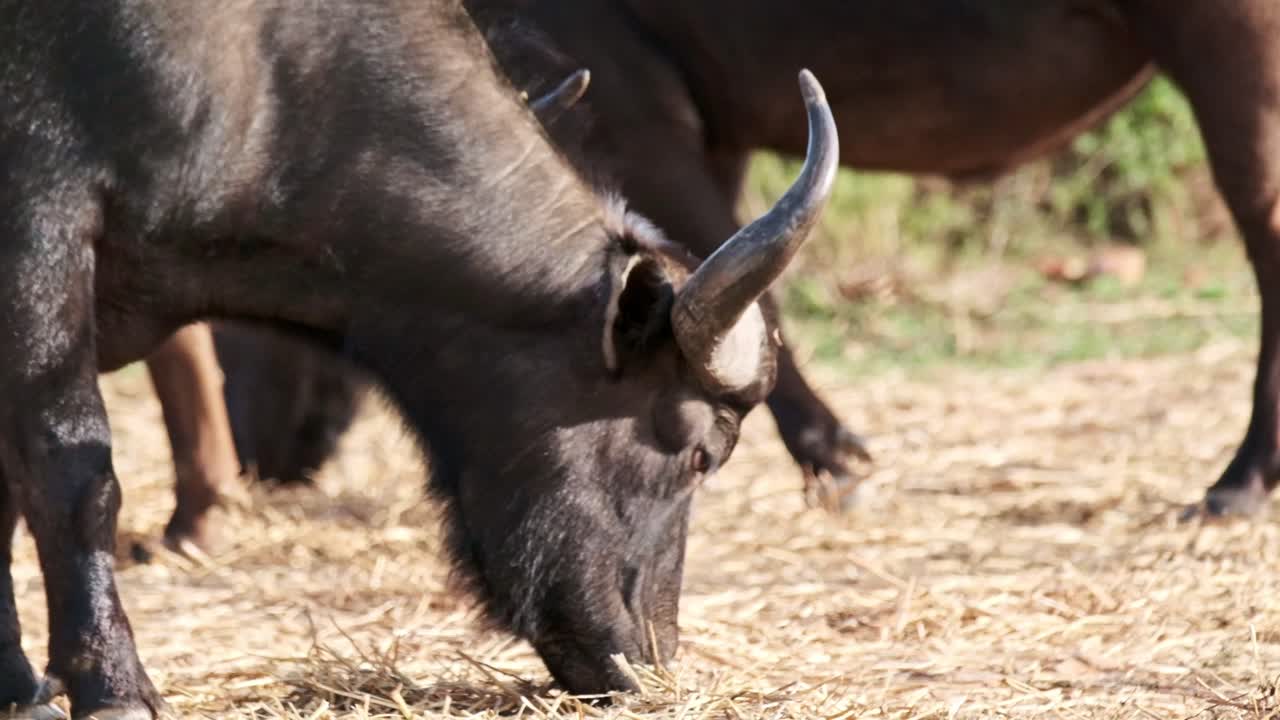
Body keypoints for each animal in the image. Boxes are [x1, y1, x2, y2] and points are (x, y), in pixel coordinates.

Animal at [0, 1, 837, 717]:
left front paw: (19, 683)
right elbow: (75, 477)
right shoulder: (39, 227)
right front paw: (113, 686)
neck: (271, 66)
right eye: (700, 454)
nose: (651, 659)